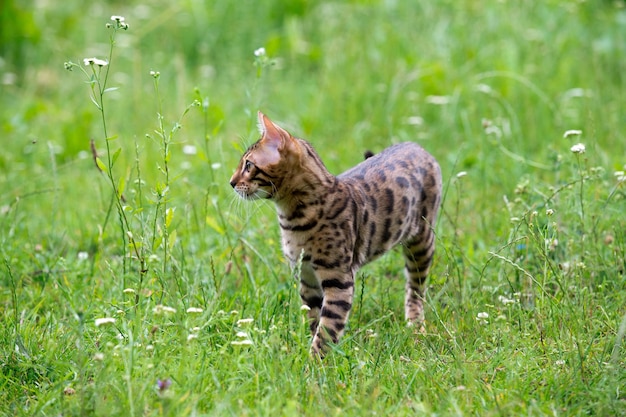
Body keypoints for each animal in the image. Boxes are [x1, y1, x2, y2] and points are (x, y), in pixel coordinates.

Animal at [228, 112, 438, 356]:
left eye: (248, 165)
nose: (231, 182)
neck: (293, 218)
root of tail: (415, 145)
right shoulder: (307, 278)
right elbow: (315, 320)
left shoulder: (338, 279)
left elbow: (328, 328)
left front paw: (315, 362)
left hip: (422, 242)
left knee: (415, 289)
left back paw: (416, 326)